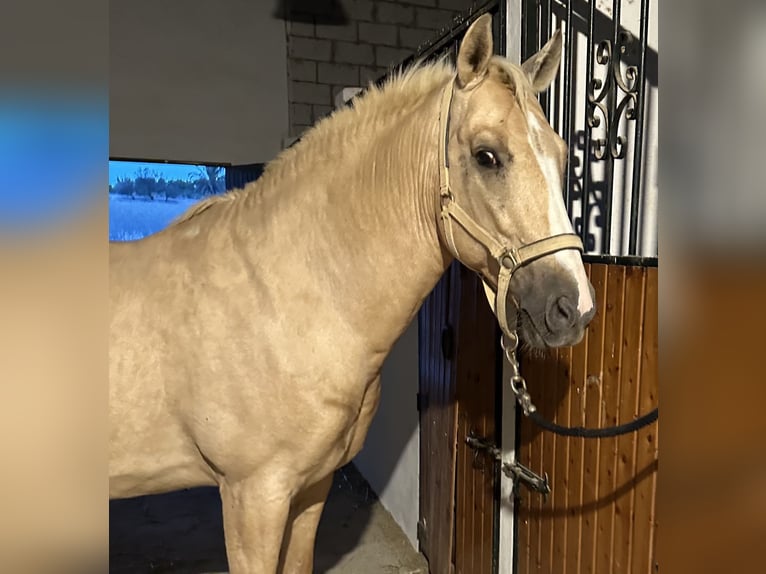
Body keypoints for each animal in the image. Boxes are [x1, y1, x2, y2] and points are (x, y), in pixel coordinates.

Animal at [111, 14, 596, 574]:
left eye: (561, 156)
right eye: (486, 156)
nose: (574, 308)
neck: (284, 298)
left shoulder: (311, 488)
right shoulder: (251, 499)